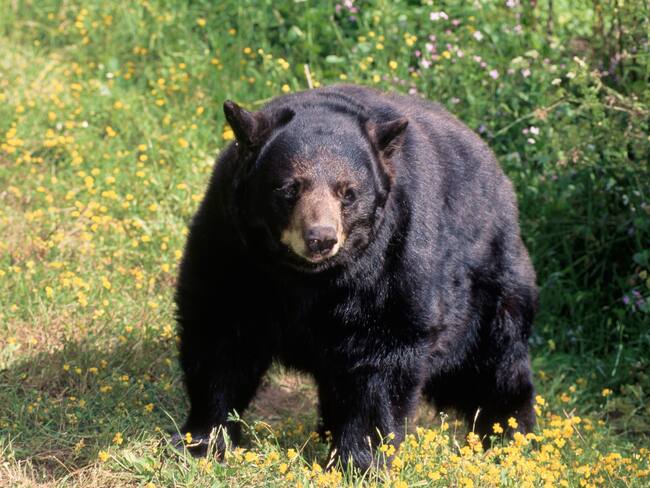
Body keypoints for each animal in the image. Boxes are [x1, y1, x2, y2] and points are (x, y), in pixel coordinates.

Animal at [173, 84, 538, 470]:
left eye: (347, 192)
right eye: (289, 188)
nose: (320, 237)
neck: (306, 279)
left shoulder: (392, 259)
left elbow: (383, 354)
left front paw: (359, 461)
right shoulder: (232, 247)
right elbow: (221, 331)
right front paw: (203, 440)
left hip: (488, 287)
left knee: (493, 364)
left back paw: (509, 438)